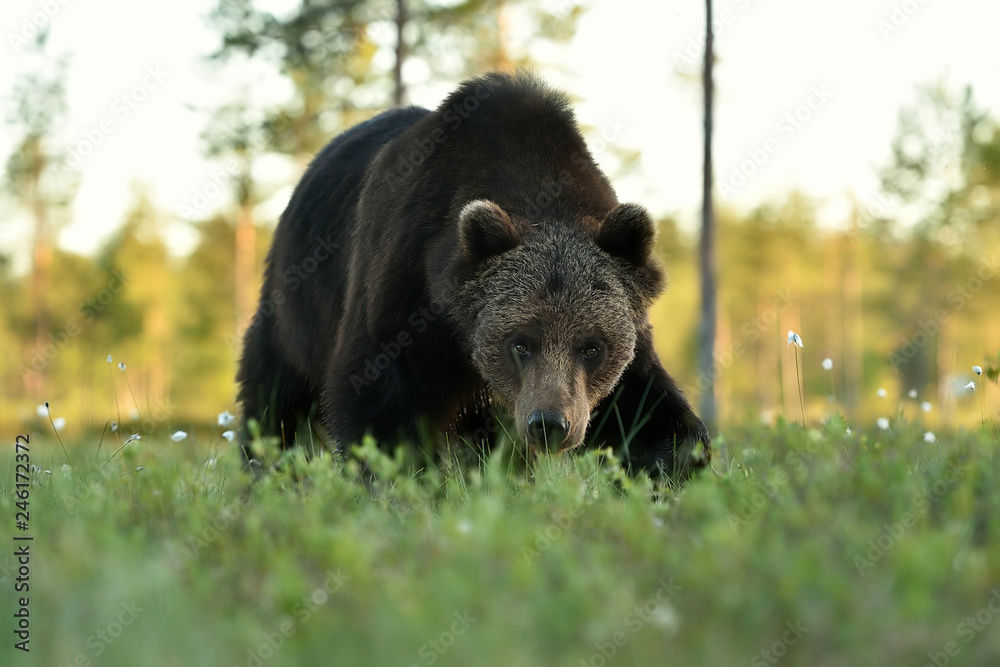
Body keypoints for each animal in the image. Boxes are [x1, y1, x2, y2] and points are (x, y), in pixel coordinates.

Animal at [236, 71, 710, 477]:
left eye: (592, 347)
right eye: (520, 342)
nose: (549, 423)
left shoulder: (626, 330)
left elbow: (649, 413)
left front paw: (676, 468)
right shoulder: (405, 286)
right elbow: (377, 405)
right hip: (297, 307)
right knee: (274, 397)